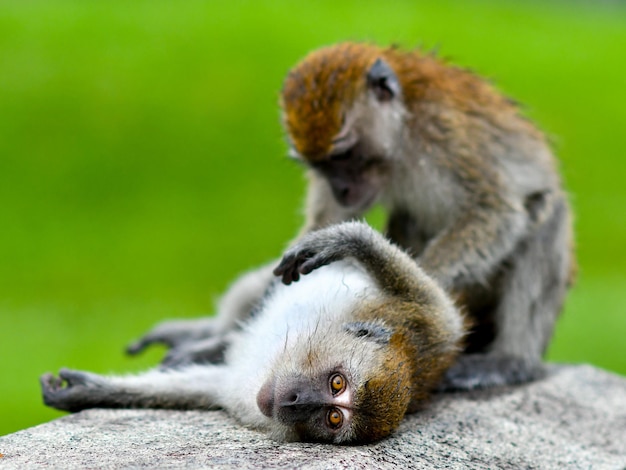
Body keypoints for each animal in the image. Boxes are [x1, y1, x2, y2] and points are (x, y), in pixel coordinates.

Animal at [41, 222, 464, 442]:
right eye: (338, 383)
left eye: (332, 418)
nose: (294, 401)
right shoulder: (420, 329)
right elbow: (442, 313)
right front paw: (347, 239)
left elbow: (208, 386)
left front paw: (89, 391)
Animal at [127, 43, 576, 390]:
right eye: (321, 166)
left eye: (344, 155)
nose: (342, 189)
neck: (403, 134)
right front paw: (222, 337)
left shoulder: (446, 131)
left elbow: (494, 212)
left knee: (545, 211)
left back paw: (512, 360)